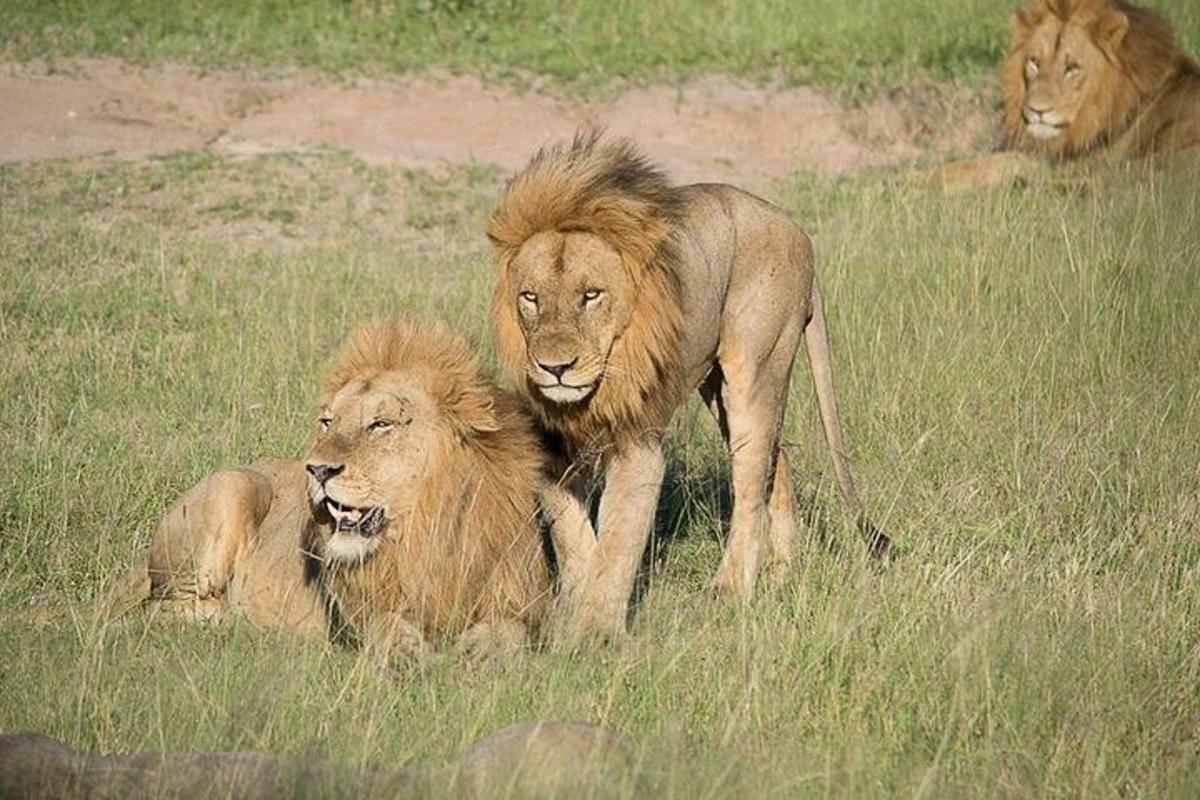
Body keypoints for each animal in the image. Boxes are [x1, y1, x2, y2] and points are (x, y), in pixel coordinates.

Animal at [487, 133, 892, 642]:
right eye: (530, 298)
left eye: (591, 295)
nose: (555, 367)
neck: (594, 392)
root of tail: (796, 229)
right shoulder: (551, 445)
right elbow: (573, 535)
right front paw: (571, 608)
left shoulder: (639, 445)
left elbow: (618, 537)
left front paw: (597, 630)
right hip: (716, 388)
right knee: (778, 457)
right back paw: (784, 571)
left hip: (755, 369)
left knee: (752, 482)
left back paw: (731, 588)